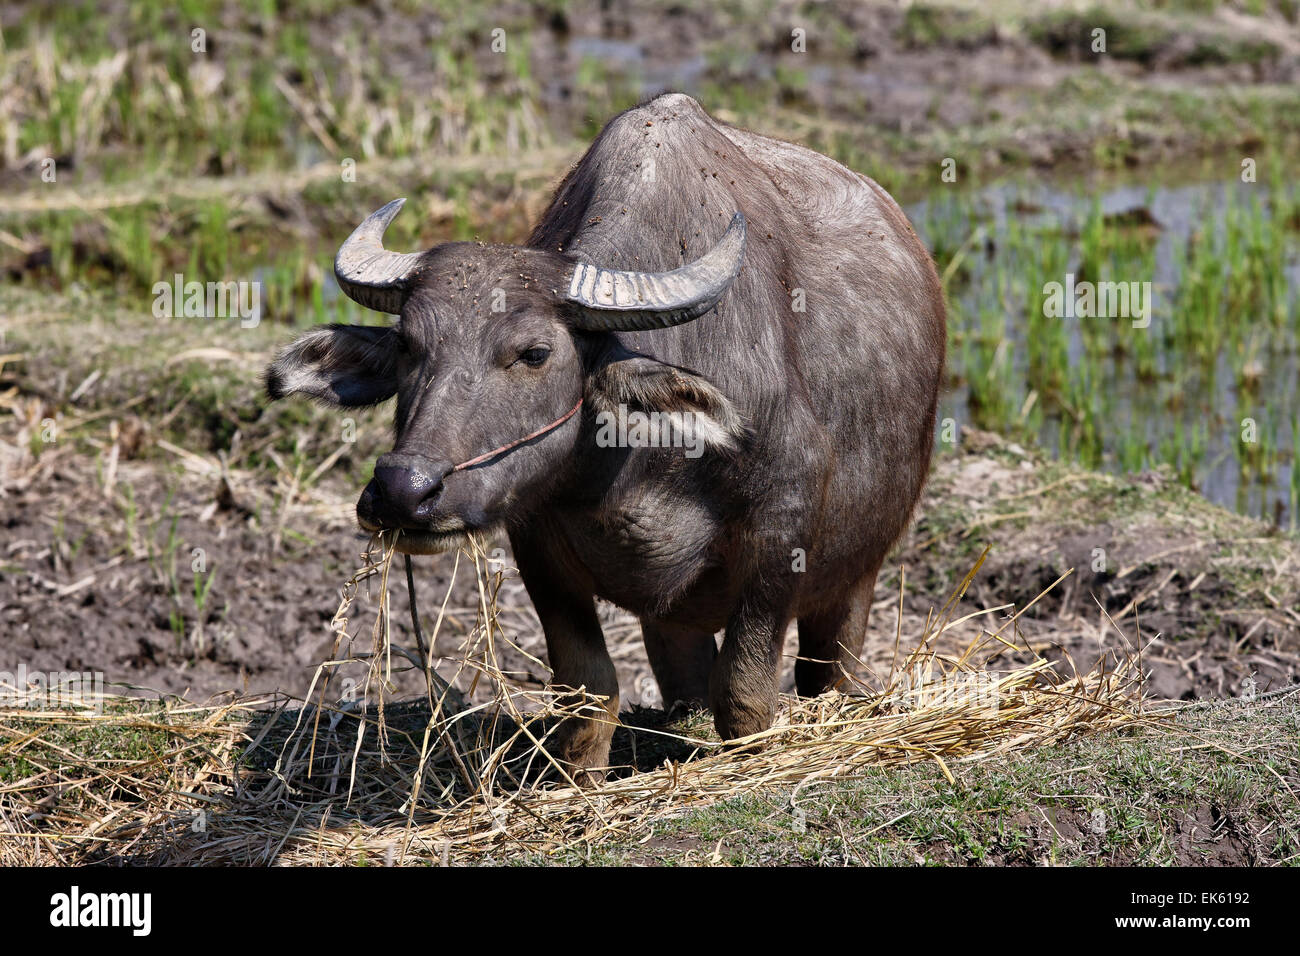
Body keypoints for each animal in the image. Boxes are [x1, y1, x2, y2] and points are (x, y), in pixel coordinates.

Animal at [266, 91, 946, 780]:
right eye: (407, 345)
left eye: (535, 353)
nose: (405, 490)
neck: (640, 469)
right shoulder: (537, 541)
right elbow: (588, 691)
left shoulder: (782, 531)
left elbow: (745, 690)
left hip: (859, 567)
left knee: (829, 665)